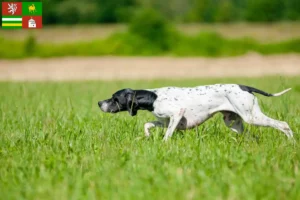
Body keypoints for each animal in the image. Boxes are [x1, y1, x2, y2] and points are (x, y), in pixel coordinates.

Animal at [98, 84, 292, 141]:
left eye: (114, 99)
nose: (99, 103)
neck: (153, 97)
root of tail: (245, 87)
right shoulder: (164, 121)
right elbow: (148, 124)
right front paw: (147, 135)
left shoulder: (177, 114)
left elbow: (167, 135)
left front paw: (163, 144)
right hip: (234, 123)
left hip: (251, 117)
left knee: (283, 125)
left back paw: (291, 142)